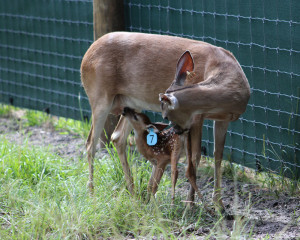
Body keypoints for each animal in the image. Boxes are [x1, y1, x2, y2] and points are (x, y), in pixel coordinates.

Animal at [80, 31, 251, 212]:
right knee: (90, 144)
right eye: (165, 116)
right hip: (99, 96)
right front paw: (191, 205)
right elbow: (195, 156)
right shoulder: (197, 117)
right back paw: (92, 195)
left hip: (131, 102)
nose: (175, 130)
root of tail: (86, 55)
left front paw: (219, 204)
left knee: (117, 136)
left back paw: (133, 193)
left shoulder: (222, 120)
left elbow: (218, 155)